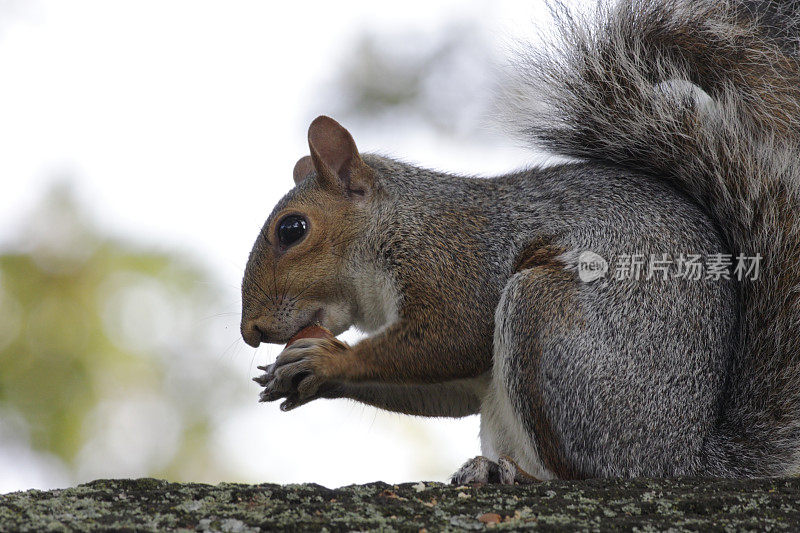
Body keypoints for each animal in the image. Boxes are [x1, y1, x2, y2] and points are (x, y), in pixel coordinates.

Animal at [241, 0, 800, 480]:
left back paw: (522, 477)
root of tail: (684, 462)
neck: (398, 224)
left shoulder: (455, 260)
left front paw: (328, 360)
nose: (251, 331)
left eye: (292, 229)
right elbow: (451, 385)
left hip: (551, 328)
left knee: (588, 474)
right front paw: (305, 375)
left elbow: (454, 336)